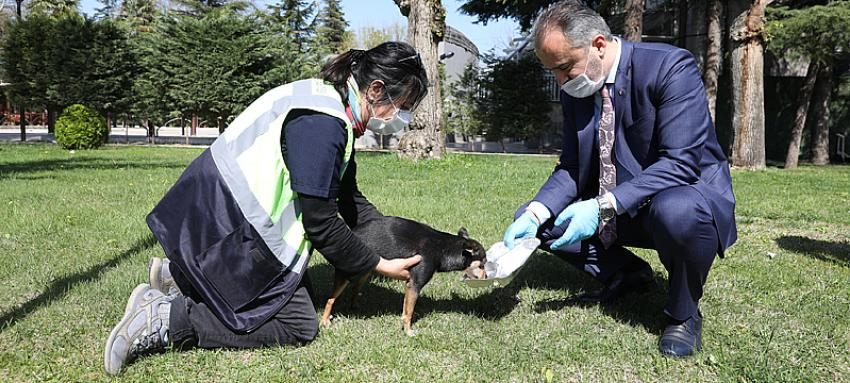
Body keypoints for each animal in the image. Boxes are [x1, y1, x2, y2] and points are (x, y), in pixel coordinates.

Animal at [322, 218, 486, 338]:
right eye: (483, 264)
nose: (486, 276)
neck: (443, 249)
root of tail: (352, 232)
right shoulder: (414, 284)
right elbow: (409, 313)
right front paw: (408, 332)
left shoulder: (409, 284)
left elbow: (406, 309)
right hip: (344, 276)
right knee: (330, 299)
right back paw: (325, 321)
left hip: (365, 271)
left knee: (355, 289)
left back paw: (355, 305)